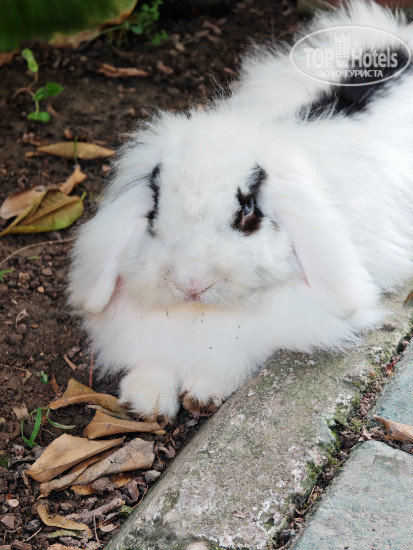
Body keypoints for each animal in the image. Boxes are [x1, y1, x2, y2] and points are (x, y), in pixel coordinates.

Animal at [69, 1, 413, 418]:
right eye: (154, 206)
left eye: (248, 210)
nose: (191, 283)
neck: (198, 316)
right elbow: (154, 362)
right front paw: (145, 402)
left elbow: (231, 360)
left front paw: (201, 393)